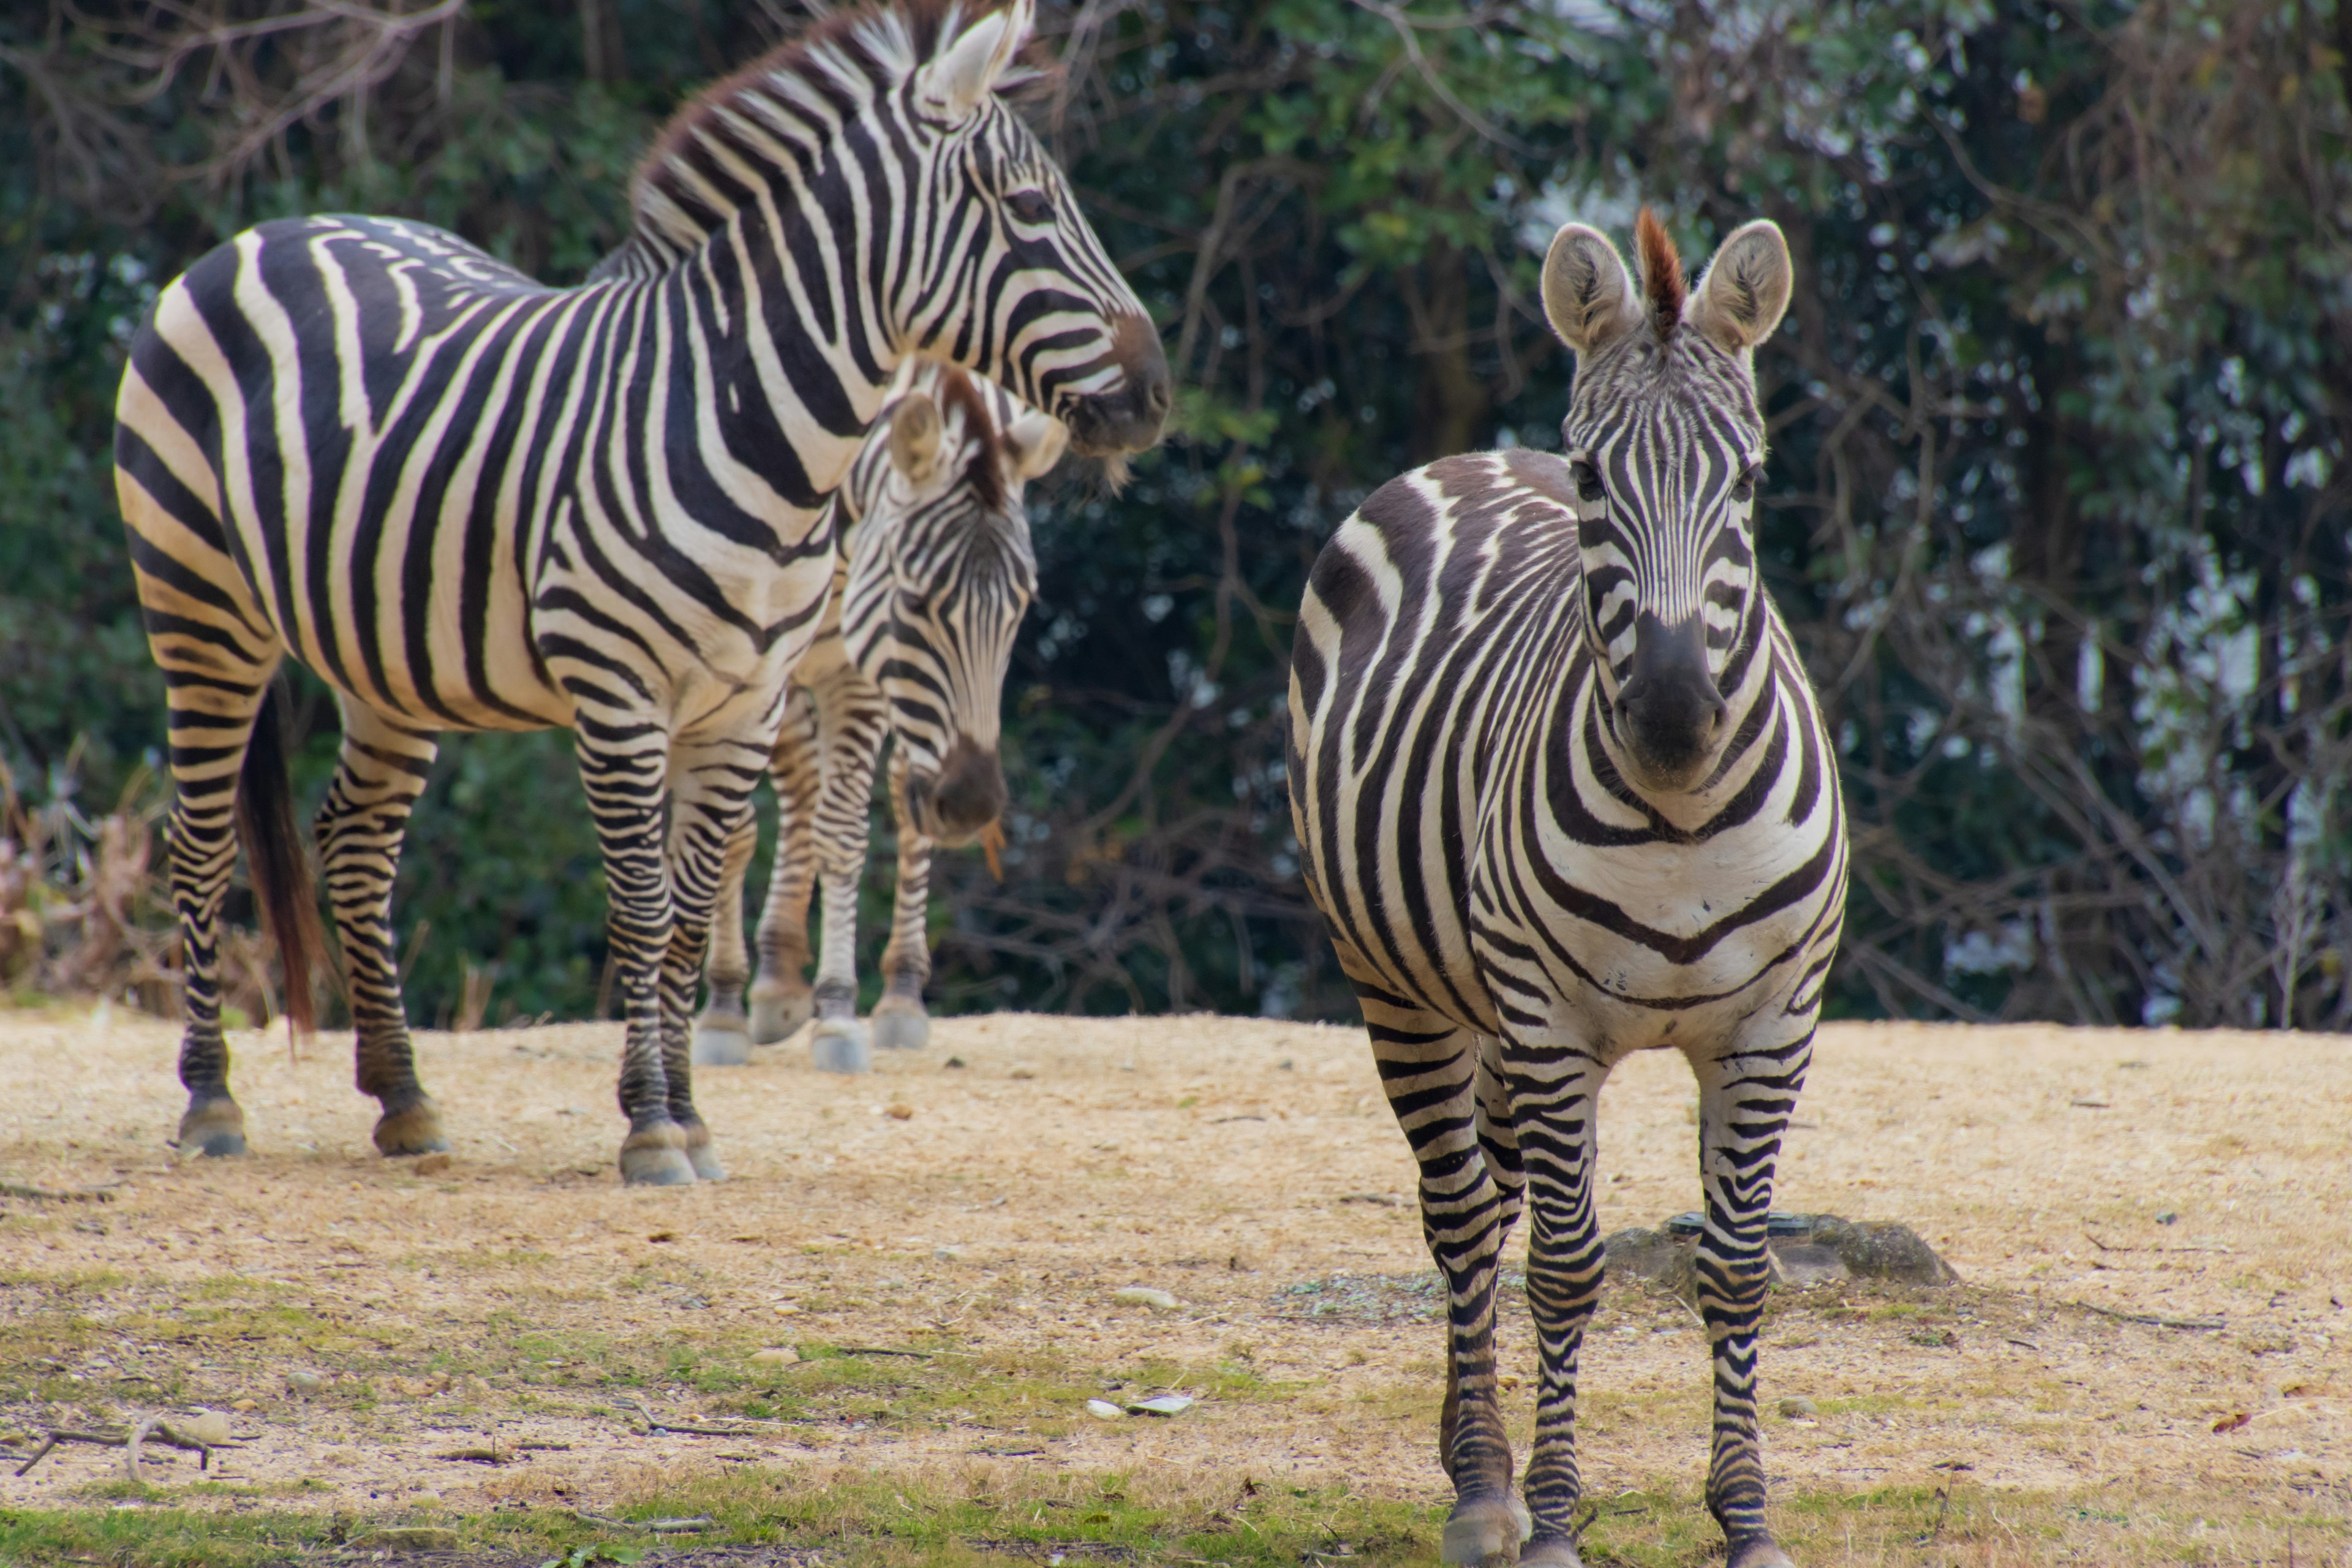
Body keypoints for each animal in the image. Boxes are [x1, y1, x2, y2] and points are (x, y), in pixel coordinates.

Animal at [687, 360, 1058, 1067]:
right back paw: (776, 977)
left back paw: (899, 996)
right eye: (914, 600)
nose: (972, 806)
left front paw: (837, 1013)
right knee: (806, 781)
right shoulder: (742, 667)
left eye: (1024, 603)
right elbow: (737, 826)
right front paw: (722, 1008)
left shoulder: (856, 671)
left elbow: (844, 830)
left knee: (898, 799)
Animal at [1298, 208, 1844, 1568]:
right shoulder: (1553, 1026)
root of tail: (1479, 453)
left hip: (1491, 1012)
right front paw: (1550, 1516)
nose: (1674, 718)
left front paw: (1746, 1518)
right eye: (1596, 479)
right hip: (1404, 990)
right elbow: (1565, 1268)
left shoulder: (1773, 1028)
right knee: (1460, 1215)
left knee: (1487, 1199)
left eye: (1747, 481)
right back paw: (1484, 1486)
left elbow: (1737, 1270)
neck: (1682, 820)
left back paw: (1468, 1450)